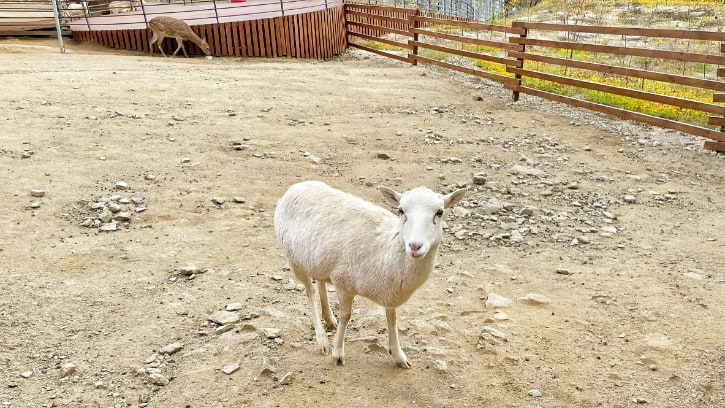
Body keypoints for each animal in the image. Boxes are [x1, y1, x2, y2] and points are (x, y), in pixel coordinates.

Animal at [274, 180, 466, 368]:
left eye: (439, 212)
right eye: (401, 210)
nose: (415, 246)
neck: (387, 248)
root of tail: (296, 186)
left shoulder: (391, 290)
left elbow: (392, 319)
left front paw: (398, 355)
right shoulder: (343, 282)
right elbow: (346, 316)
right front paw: (338, 352)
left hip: (317, 259)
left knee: (320, 282)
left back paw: (329, 318)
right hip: (295, 260)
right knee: (310, 292)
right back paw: (322, 340)